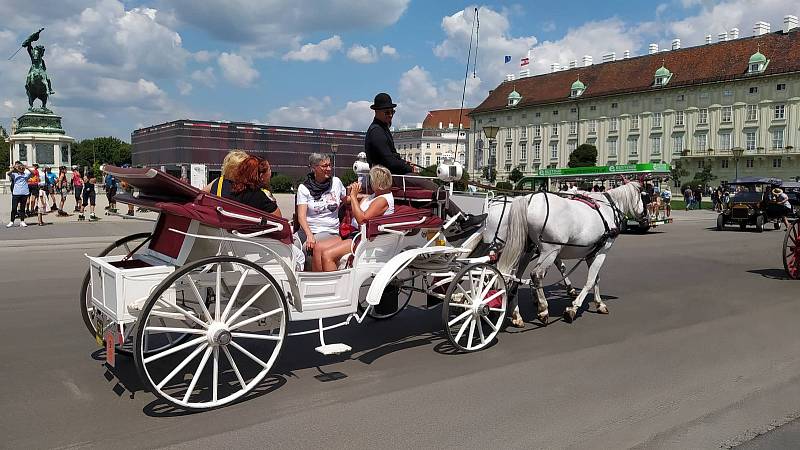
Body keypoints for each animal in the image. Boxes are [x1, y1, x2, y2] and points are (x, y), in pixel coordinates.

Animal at [482, 183, 644, 326]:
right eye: (644, 196)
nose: (645, 217)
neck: (608, 208)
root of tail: (527, 201)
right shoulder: (602, 251)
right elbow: (590, 280)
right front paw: (573, 308)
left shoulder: (592, 252)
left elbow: (595, 278)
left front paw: (599, 303)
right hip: (549, 250)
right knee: (535, 275)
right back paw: (543, 309)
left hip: (524, 250)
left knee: (513, 277)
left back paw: (515, 314)